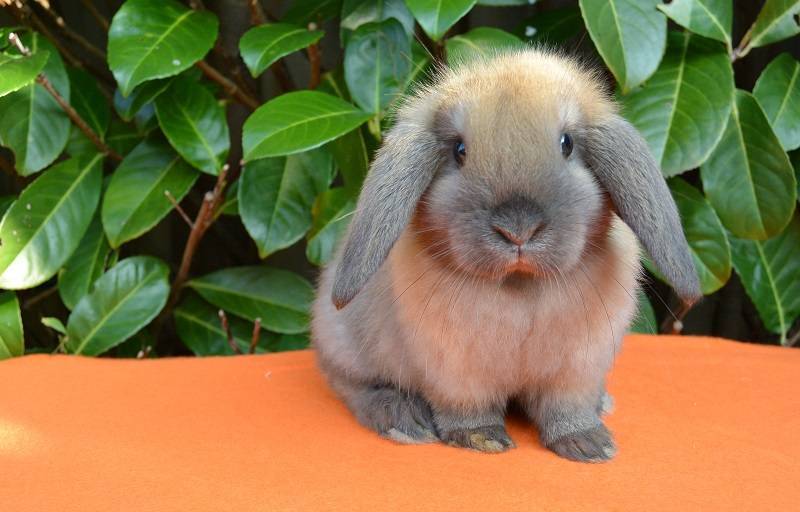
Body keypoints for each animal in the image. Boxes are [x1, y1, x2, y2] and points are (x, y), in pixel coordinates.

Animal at [311, 49, 700, 462]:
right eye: (459, 151)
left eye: (567, 144)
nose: (518, 228)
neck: (520, 284)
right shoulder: (455, 371)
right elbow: (467, 409)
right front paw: (483, 439)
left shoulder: (577, 368)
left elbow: (568, 408)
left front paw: (590, 445)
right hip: (347, 349)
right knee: (353, 385)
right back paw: (403, 420)